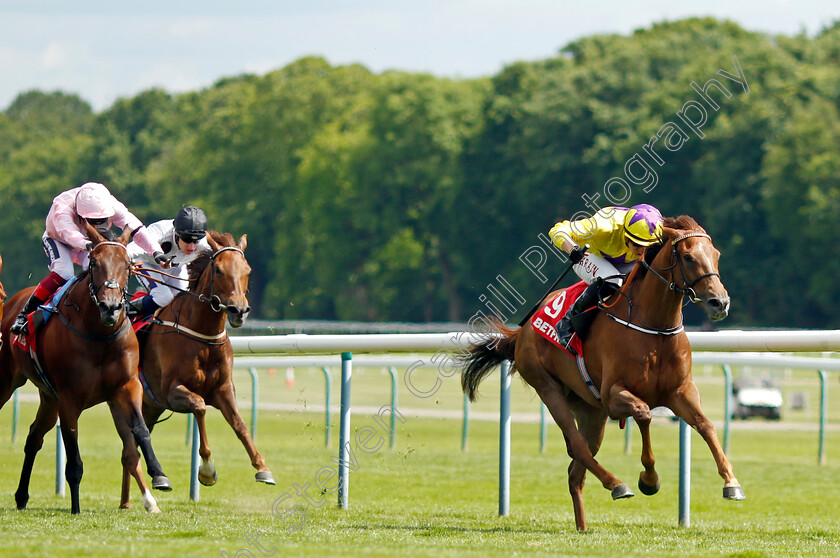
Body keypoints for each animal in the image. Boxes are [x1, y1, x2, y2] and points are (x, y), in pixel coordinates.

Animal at [0, 225, 171, 516]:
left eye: (127, 265)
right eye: (93, 263)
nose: (110, 307)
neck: (99, 334)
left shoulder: (127, 386)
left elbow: (140, 430)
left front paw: (159, 475)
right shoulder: (69, 399)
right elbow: (74, 457)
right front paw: (76, 507)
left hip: (48, 397)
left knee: (34, 437)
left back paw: (22, 497)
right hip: (9, 380)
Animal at [121, 232, 274, 512]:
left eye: (247, 269)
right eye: (219, 269)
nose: (238, 310)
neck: (202, 335)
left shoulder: (224, 389)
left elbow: (240, 424)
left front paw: (262, 468)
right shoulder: (171, 392)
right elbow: (200, 406)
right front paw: (207, 471)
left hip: (149, 407)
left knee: (132, 445)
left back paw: (128, 499)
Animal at [462, 217, 744, 532]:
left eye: (716, 255)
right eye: (688, 257)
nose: (719, 302)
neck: (654, 326)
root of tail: (521, 332)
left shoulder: (681, 392)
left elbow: (705, 425)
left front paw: (731, 483)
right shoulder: (613, 395)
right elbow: (644, 413)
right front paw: (649, 480)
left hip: (590, 412)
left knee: (576, 470)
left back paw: (583, 526)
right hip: (549, 388)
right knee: (578, 447)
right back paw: (617, 484)